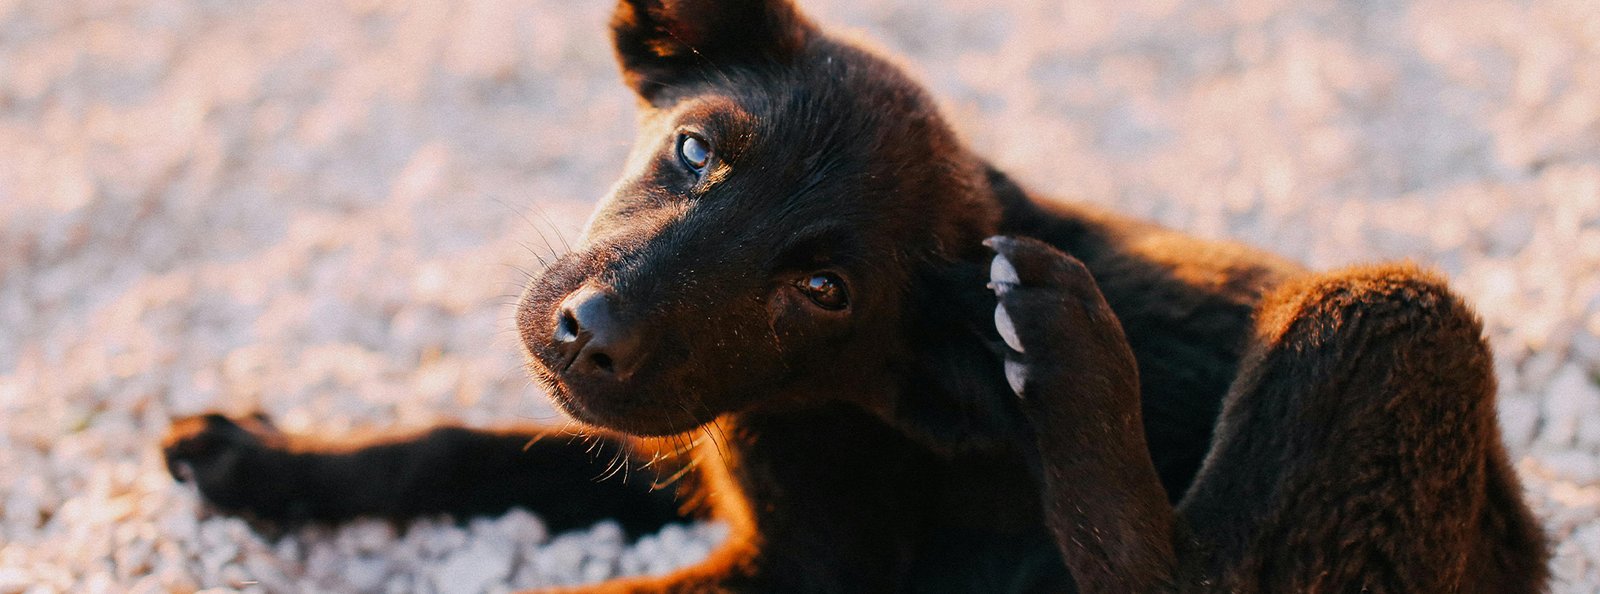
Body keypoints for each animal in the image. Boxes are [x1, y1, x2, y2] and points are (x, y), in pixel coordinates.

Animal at [162, 2, 1548, 592]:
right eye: (694, 151)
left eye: (824, 290)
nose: (586, 333)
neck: (817, 400)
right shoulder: (672, 451)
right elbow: (455, 446)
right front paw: (261, 460)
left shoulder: (810, 566)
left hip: (1393, 318)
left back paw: (1067, 358)